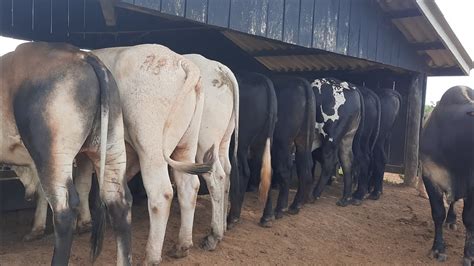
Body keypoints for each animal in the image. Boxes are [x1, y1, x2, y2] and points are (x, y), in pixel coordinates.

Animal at [227, 72, 276, 229]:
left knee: (243, 171)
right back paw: (267, 217)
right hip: (263, 140)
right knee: (267, 171)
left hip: (241, 140)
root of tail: (263, 79)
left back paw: (232, 217)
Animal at [258, 75, 316, 227]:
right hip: (304, 137)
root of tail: (301, 81)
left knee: (284, 170)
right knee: (304, 166)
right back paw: (296, 205)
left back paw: (279, 209)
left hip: (282, 141)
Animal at [312, 78, 362, 207]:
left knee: (329, 162)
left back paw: (314, 194)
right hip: (347, 138)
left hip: (330, 138)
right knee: (347, 162)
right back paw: (345, 198)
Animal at [420, 85, 472, 264]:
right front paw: (438, 249)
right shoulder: (429, 175)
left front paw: (469, 254)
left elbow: (469, 219)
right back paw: (450, 220)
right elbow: (438, 213)